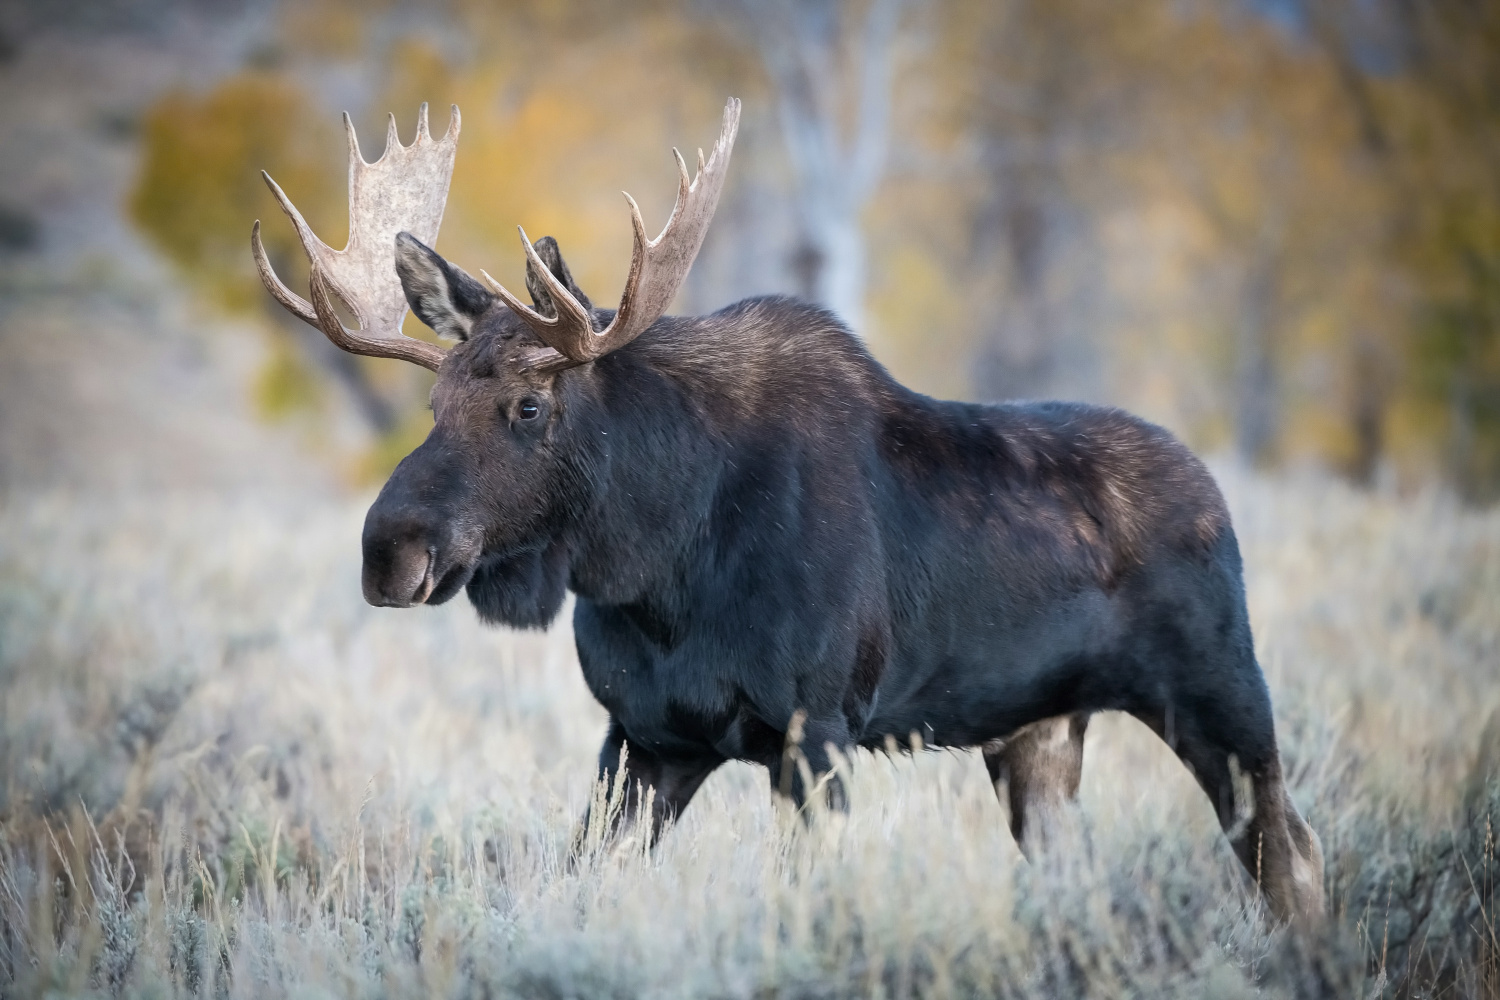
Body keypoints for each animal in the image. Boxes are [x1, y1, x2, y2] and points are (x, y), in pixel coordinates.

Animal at [255, 99, 1326, 923]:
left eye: (527, 404)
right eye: (433, 403)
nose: (390, 550)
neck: (658, 564)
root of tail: (1215, 494)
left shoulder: (817, 735)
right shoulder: (644, 737)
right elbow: (578, 880)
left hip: (1222, 694)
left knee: (1292, 855)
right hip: (1037, 732)